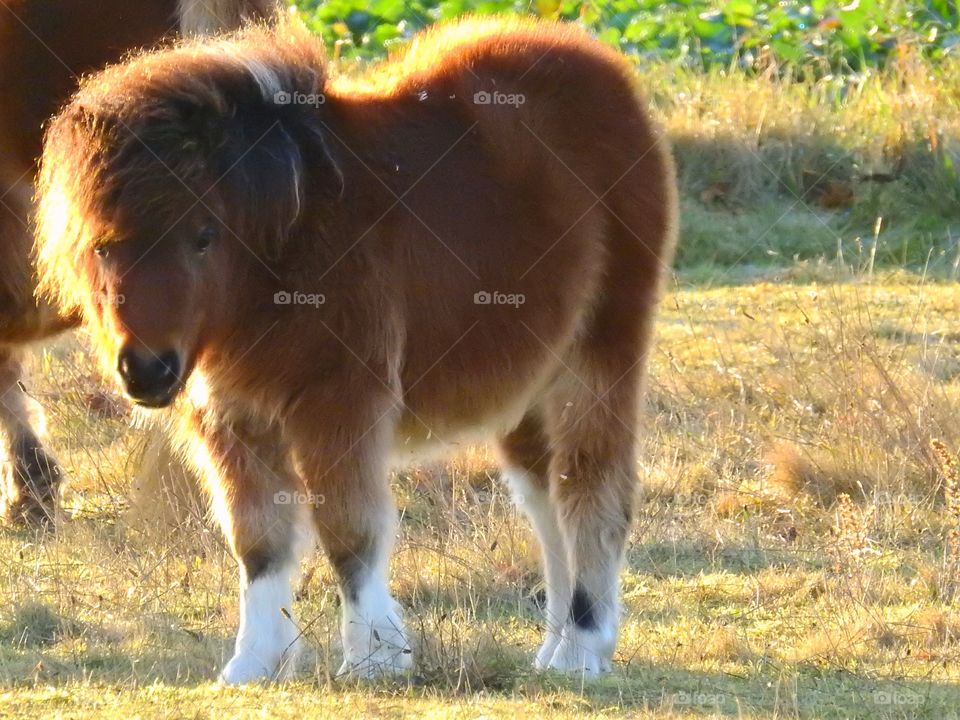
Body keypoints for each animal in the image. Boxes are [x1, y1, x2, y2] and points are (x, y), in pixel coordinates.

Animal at [37, 16, 680, 680]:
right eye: (102, 246)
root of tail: (606, 72)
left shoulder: (339, 404)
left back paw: (583, 647)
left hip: (596, 358)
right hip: (525, 386)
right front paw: (254, 663)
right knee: (547, 504)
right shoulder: (233, 417)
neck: (288, 248)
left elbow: (349, 533)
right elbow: (257, 541)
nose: (147, 370)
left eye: (204, 237)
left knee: (590, 491)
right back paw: (553, 651)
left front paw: (375, 656)